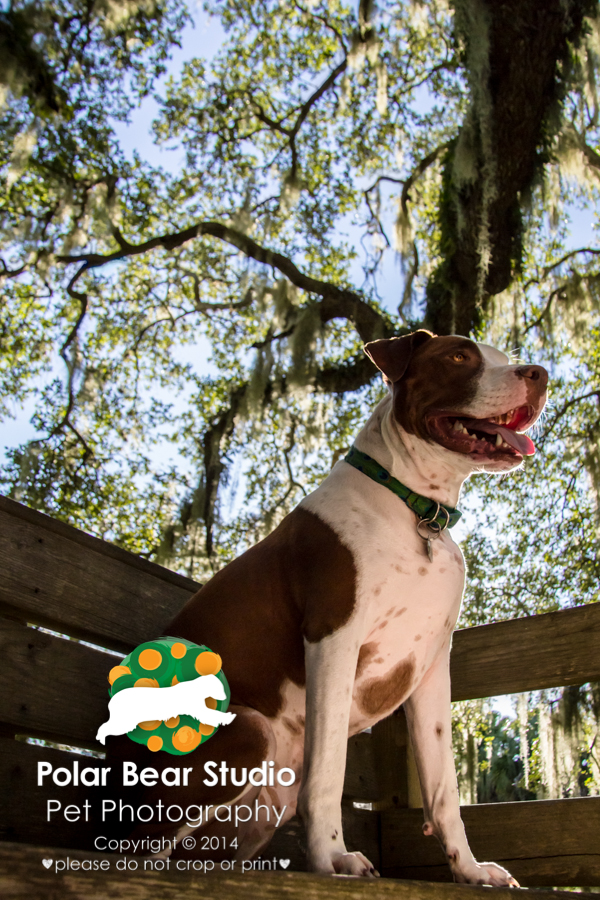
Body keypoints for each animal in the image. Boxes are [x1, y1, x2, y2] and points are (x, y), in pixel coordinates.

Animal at [116, 328, 548, 880]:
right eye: (458, 356)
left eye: (504, 358)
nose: (539, 373)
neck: (415, 507)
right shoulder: (333, 638)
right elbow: (328, 773)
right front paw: (332, 857)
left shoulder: (431, 667)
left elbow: (444, 789)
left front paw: (470, 871)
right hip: (248, 731)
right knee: (141, 848)